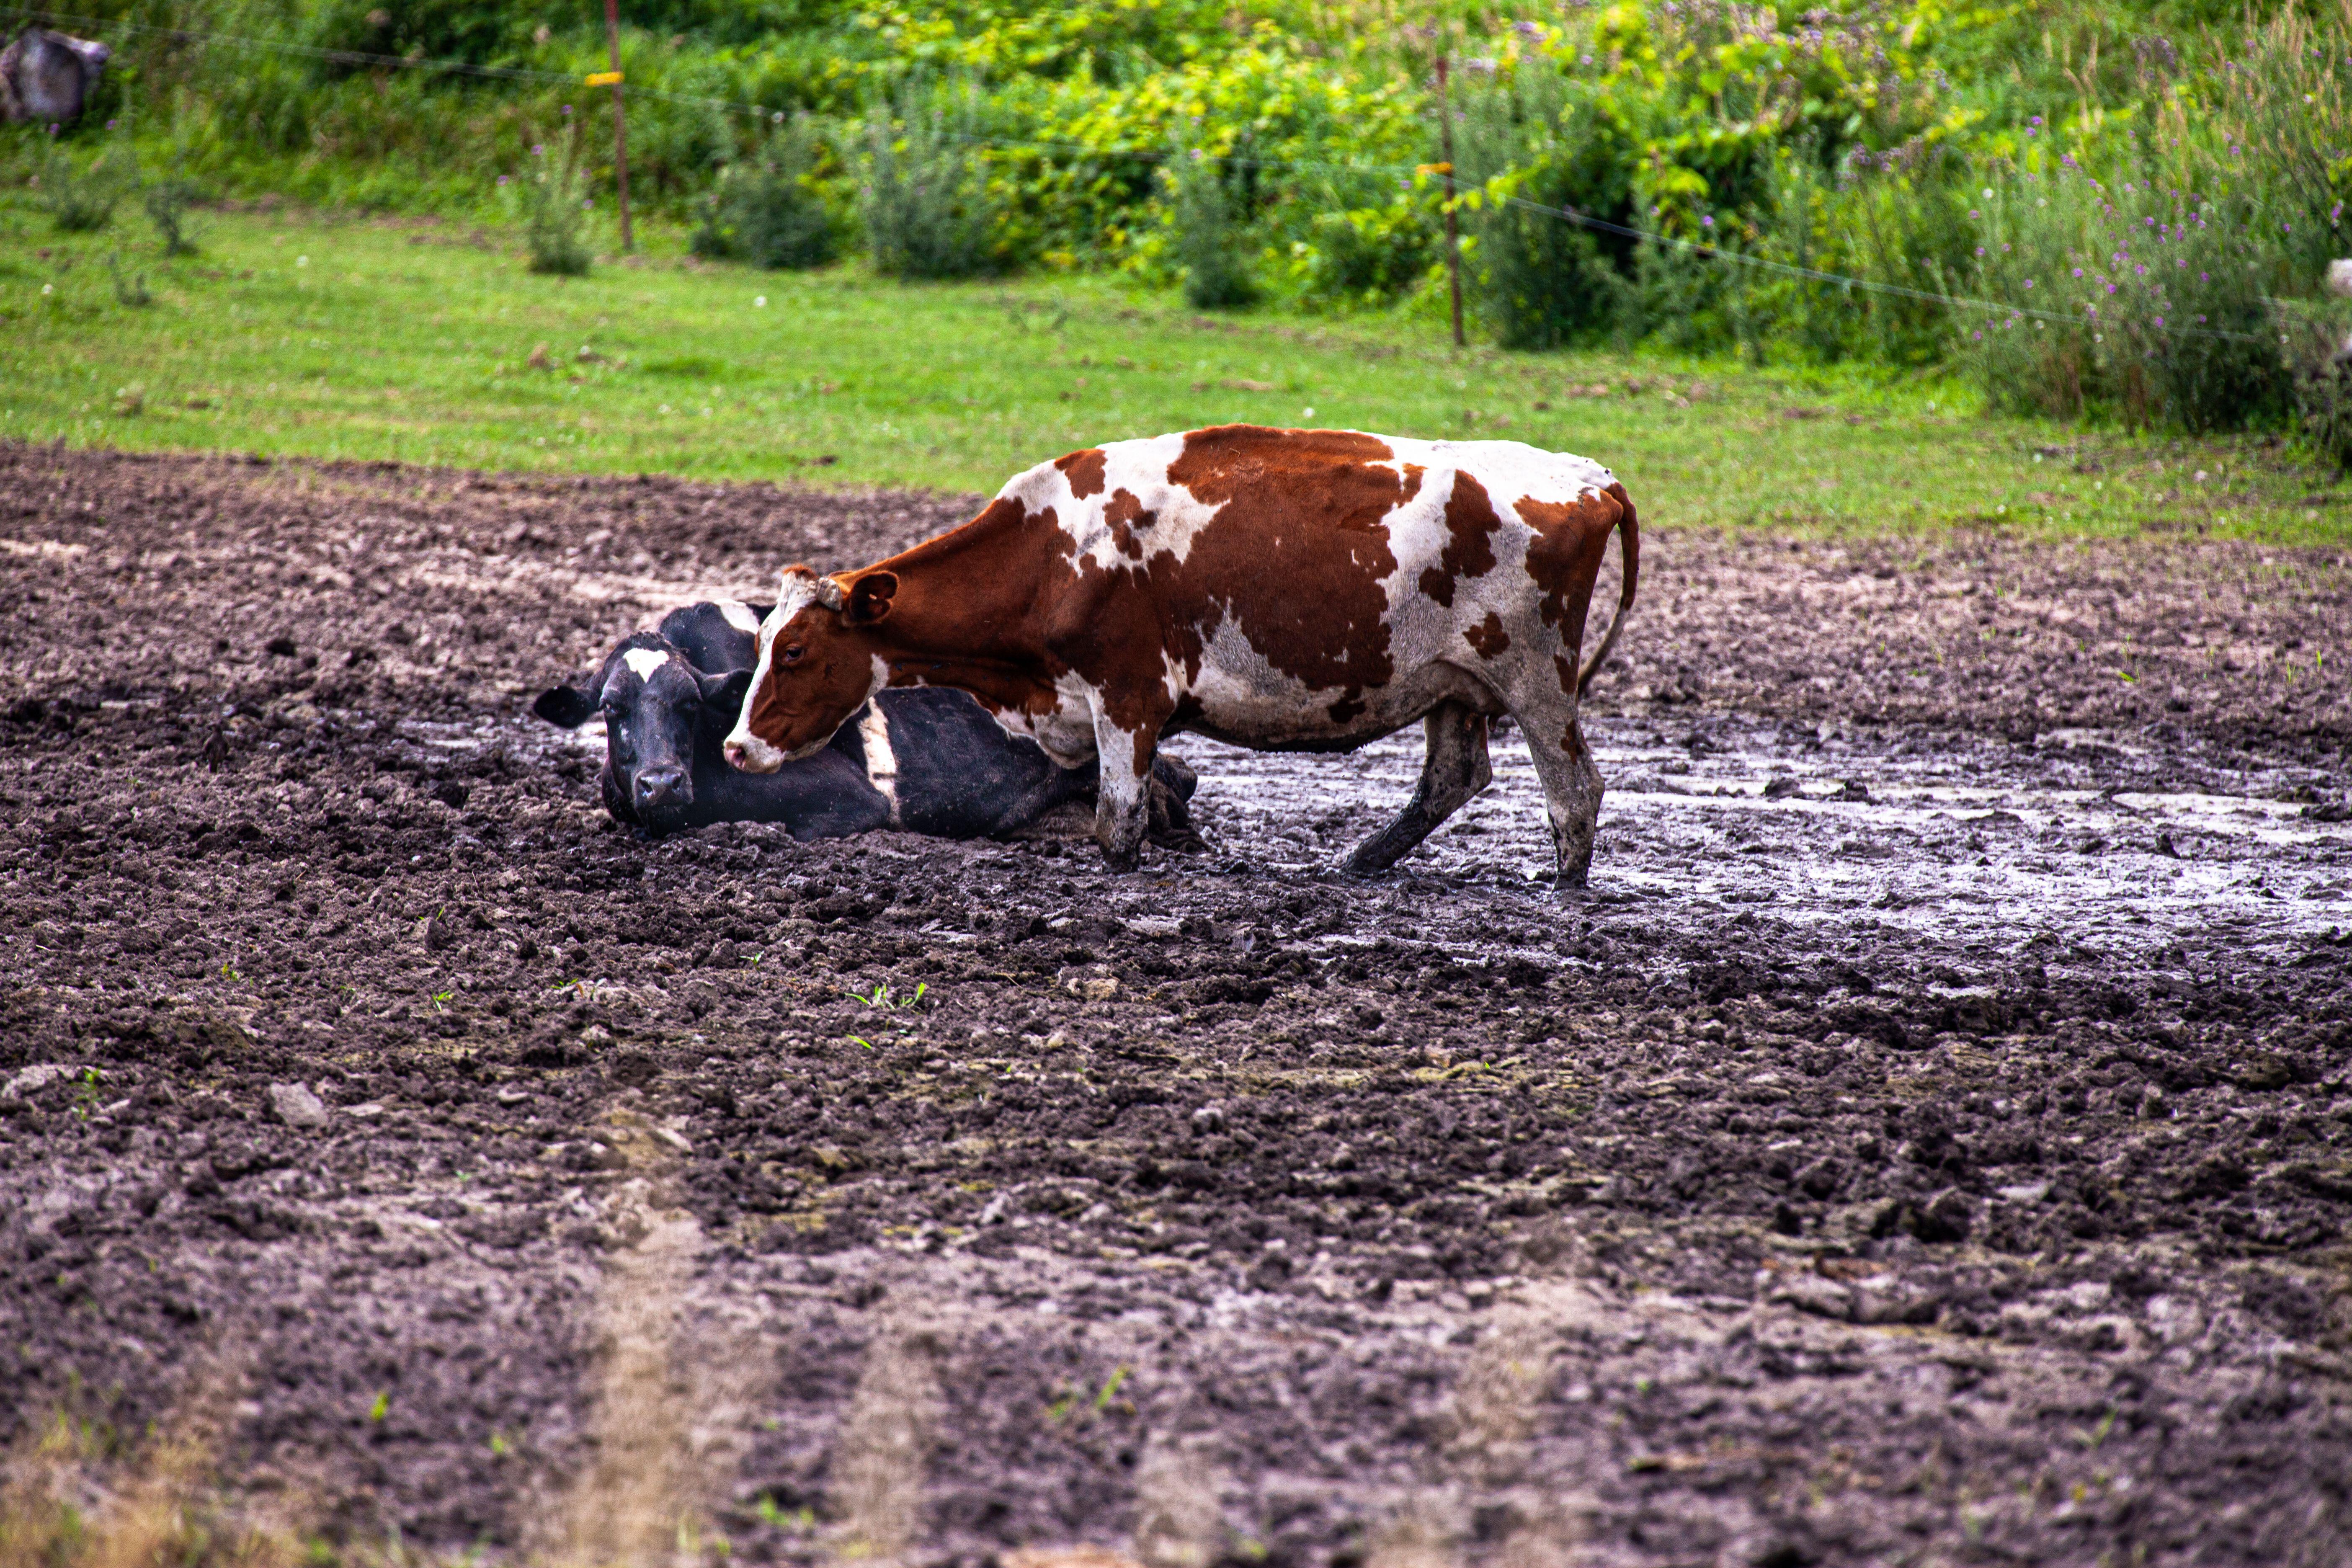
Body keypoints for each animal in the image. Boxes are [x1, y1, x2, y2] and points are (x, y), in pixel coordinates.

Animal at [723, 425, 1637, 889]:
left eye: (796, 649)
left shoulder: (1127, 696)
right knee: (1453, 778)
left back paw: (1562, 887)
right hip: (1454, 683)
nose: (735, 746)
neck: (1055, 554)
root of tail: (1590, 474)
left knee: (1574, 791)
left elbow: (1116, 826)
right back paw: (1354, 865)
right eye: (763, 643)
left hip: (1536, 679)